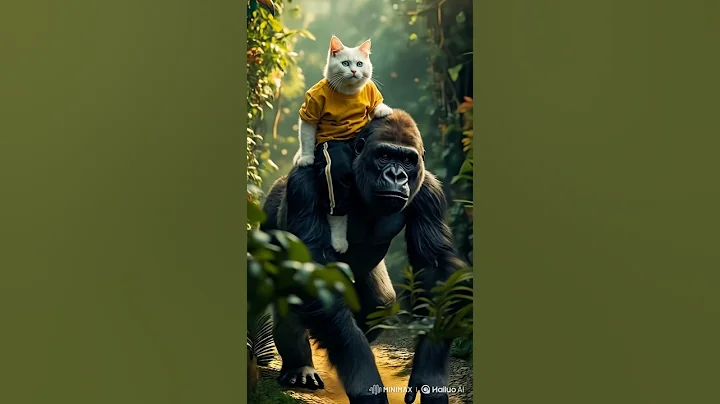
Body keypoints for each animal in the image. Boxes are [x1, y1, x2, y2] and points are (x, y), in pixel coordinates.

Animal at [261, 110, 467, 404]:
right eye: (384, 155)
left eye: (407, 160)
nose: (397, 176)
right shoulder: (304, 185)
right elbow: (314, 275)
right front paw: (364, 380)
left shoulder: (430, 191)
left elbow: (434, 266)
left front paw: (430, 374)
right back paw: (299, 366)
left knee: (380, 303)